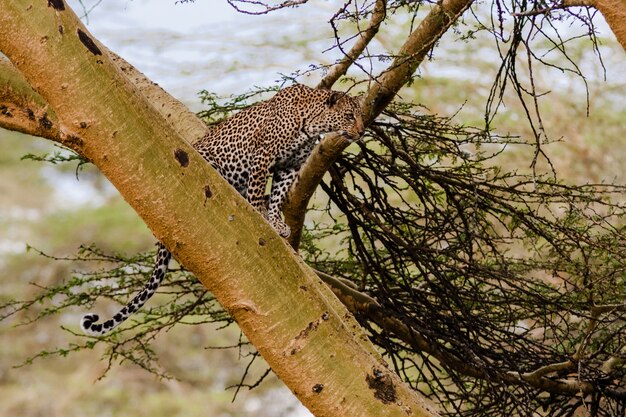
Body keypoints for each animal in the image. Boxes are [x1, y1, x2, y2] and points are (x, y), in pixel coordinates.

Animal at [79, 83, 360, 334]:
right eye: (349, 116)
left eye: (356, 116)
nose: (360, 132)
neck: (311, 125)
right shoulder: (263, 156)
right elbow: (258, 190)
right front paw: (260, 215)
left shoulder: (289, 167)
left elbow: (279, 195)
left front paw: (277, 222)